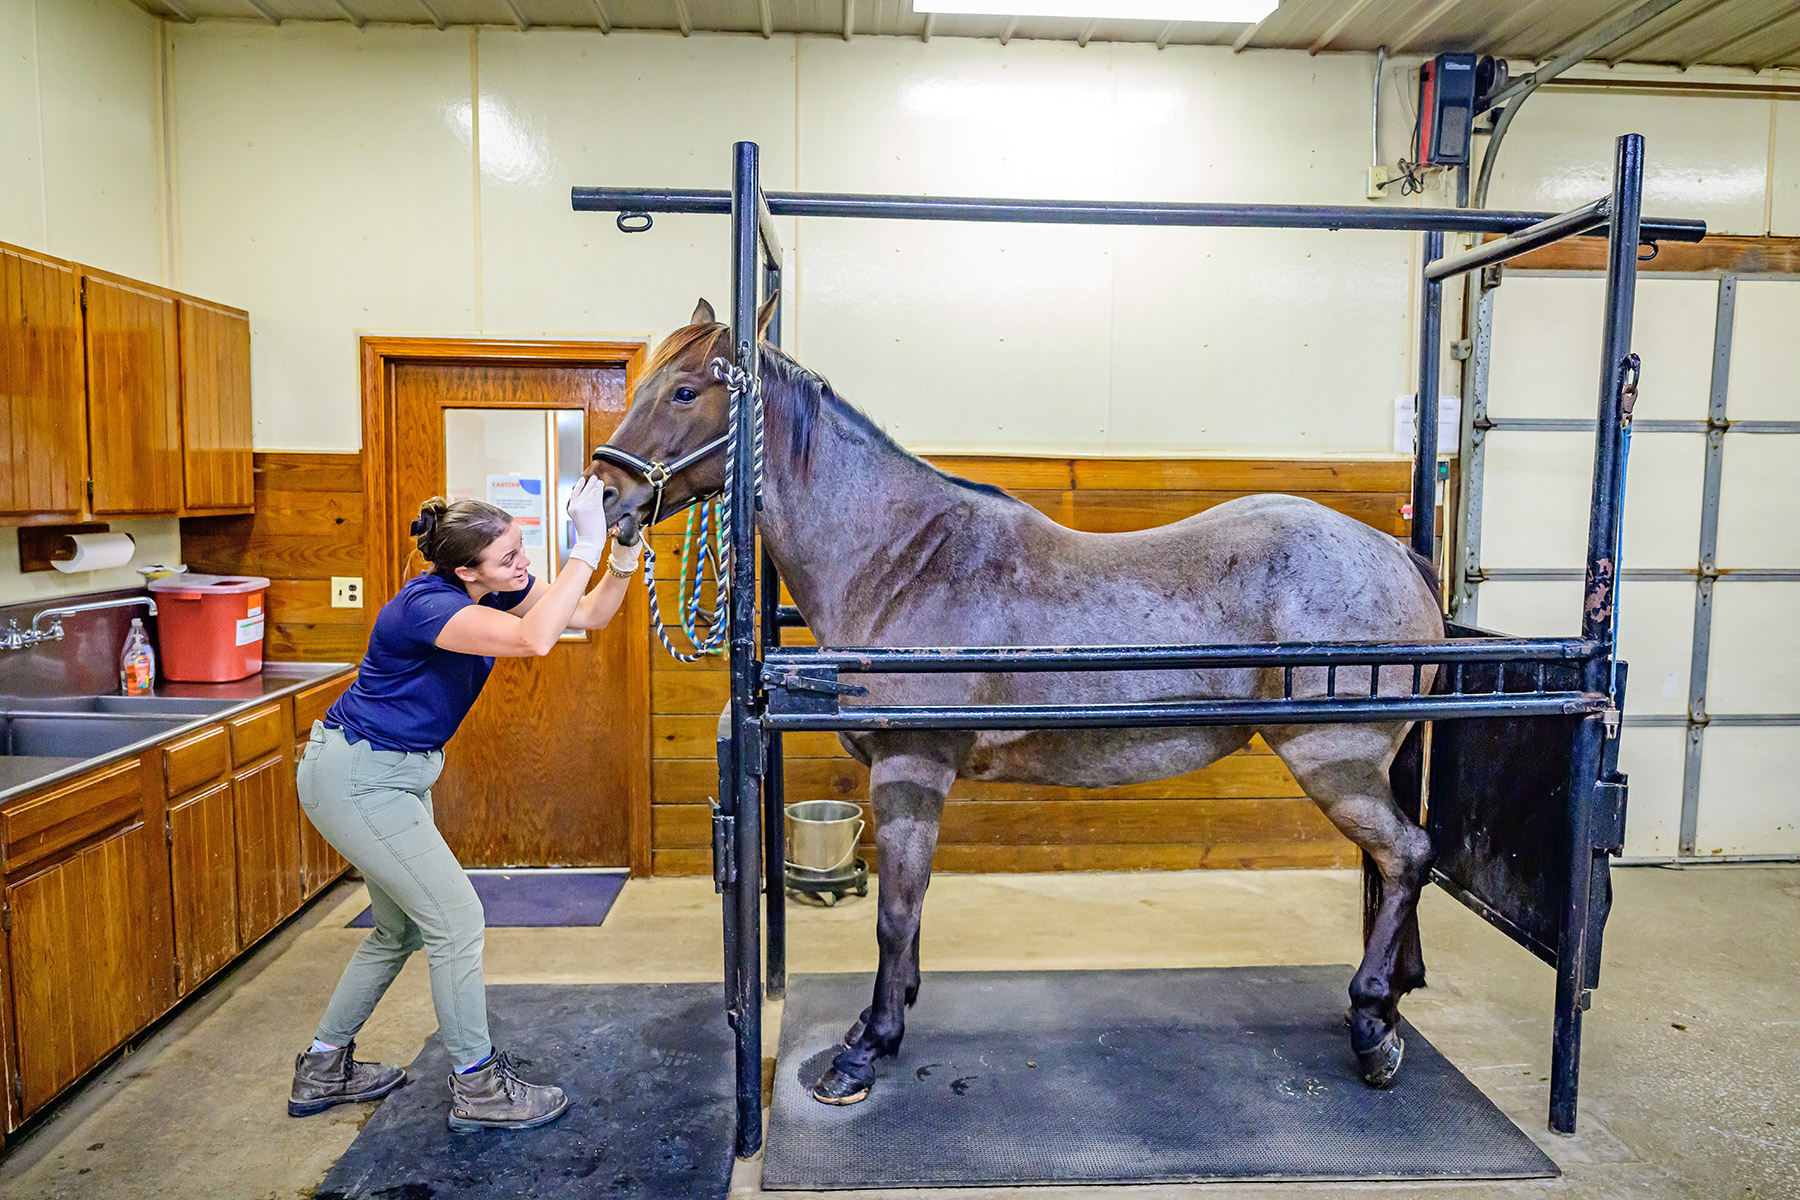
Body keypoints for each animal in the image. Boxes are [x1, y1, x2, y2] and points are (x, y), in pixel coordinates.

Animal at [591, 298, 1444, 1106]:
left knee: (1407, 854)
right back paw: (1395, 994)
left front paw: (866, 1049)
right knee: (1397, 864)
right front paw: (883, 1017)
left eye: (685, 390)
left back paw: (1373, 1022)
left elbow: (894, 914)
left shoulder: (911, 768)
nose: (605, 496)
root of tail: (1394, 553)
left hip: (1334, 760)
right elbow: (911, 908)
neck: (900, 563)